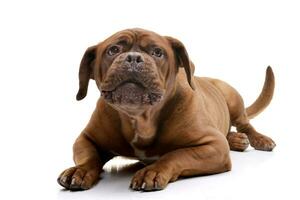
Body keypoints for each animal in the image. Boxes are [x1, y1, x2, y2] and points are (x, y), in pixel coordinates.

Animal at [57, 28, 276, 191]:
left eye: (157, 52)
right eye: (113, 50)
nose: (133, 57)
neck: (140, 119)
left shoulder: (214, 146)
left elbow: (176, 155)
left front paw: (152, 171)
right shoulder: (86, 138)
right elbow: (89, 156)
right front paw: (80, 170)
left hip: (232, 98)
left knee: (245, 124)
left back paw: (258, 139)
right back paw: (237, 140)